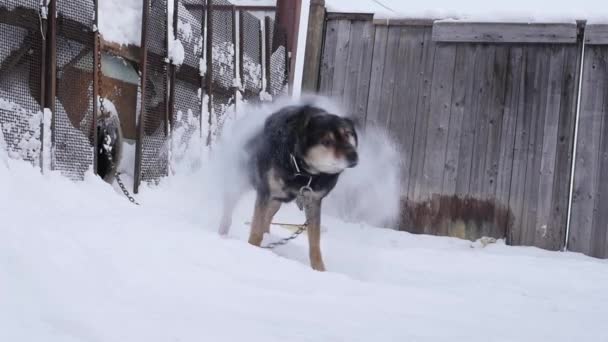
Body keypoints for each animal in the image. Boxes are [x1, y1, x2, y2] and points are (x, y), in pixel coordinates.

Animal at [218, 104, 358, 270]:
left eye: (347, 134)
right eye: (326, 141)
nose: (354, 156)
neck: (303, 171)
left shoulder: (313, 200)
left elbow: (315, 241)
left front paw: (319, 269)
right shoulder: (265, 191)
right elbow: (256, 227)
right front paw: (252, 249)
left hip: (276, 201)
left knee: (267, 219)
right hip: (241, 180)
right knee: (230, 209)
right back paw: (222, 233)